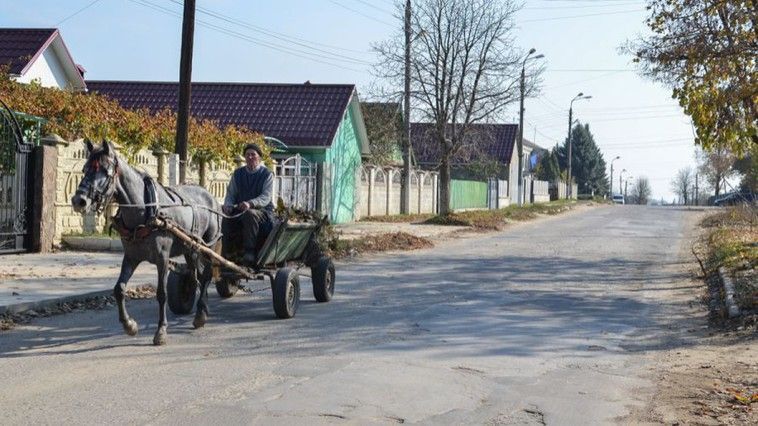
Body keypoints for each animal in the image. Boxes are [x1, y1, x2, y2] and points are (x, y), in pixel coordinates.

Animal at [71, 140, 223, 346]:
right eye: (85, 168)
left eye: (105, 171)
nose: (78, 200)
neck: (145, 210)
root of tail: (210, 196)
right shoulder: (131, 256)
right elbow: (119, 289)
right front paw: (129, 325)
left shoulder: (162, 258)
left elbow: (161, 293)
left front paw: (161, 331)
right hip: (190, 249)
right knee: (195, 276)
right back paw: (202, 307)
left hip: (208, 246)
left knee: (206, 275)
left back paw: (200, 314)